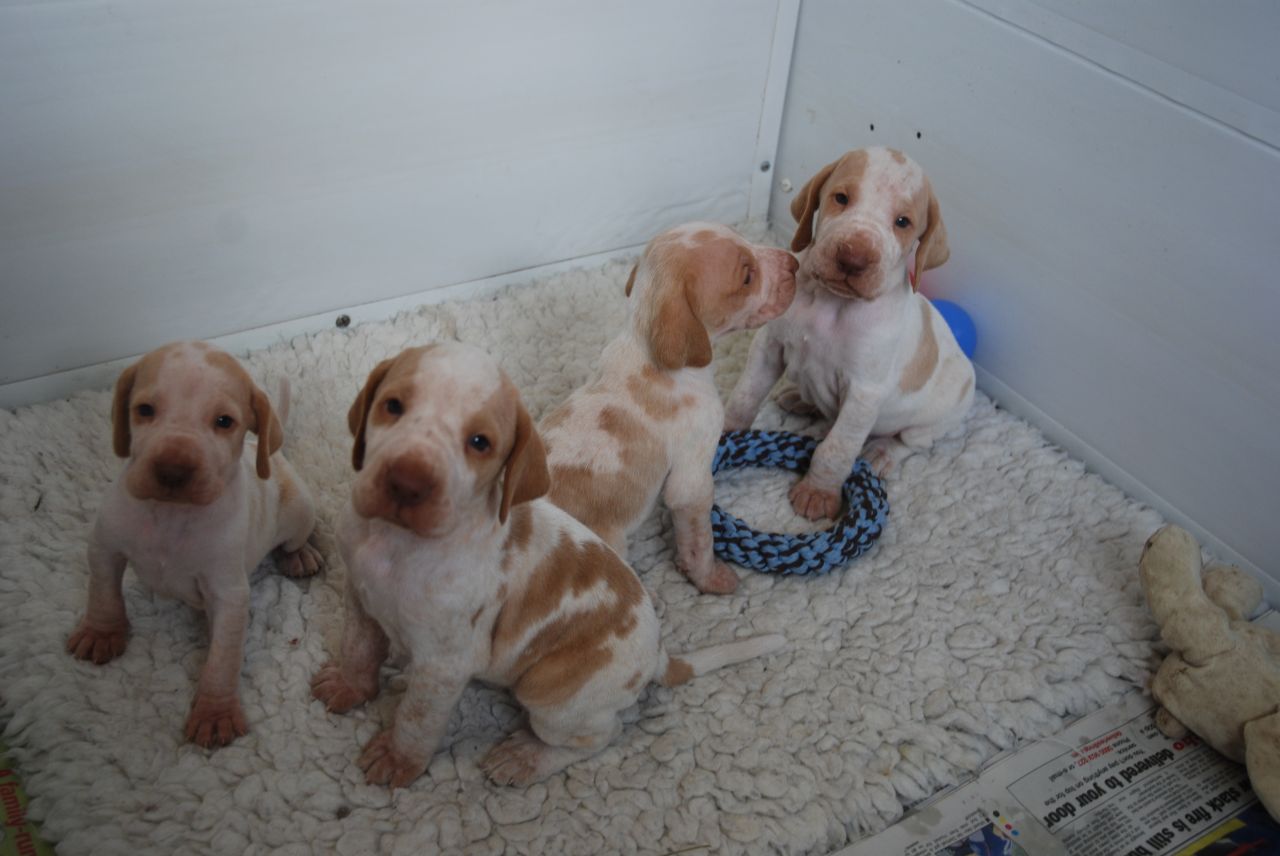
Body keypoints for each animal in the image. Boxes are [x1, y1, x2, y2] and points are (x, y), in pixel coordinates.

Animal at [67, 340, 322, 747]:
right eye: (144, 410)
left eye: (224, 421)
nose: (172, 470)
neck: (171, 516)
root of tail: (266, 447)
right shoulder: (105, 545)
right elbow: (103, 591)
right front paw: (100, 632)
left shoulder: (229, 594)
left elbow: (222, 657)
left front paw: (215, 713)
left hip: (299, 509)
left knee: (297, 535)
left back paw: (299, 555)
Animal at [314, 342, 783, 788]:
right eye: (393, 405)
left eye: (480, 442)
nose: (406, 483)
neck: (396, 543)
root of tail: (659, 656)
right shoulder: (359, 600)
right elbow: (358, 649)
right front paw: (350, 686)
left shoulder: (443, 665)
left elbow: (416, 718)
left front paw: (398, 758)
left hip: (552, 696)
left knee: (597, 737)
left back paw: (525, 757)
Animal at [535, 222, 793, 593]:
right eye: (747, 277)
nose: (795, 264)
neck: (644, 351)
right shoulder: (693, 481)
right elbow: (699, 540)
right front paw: (709, 578)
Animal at [727, 145, 972, 516]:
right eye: (841, 198)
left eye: (903, 222)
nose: (853, 258)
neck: (833, 303)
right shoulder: (769, 346)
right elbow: (745, 397)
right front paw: (724, 436)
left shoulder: (863, 393)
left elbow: (837, 447)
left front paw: (818, 492)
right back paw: (802, 399)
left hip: (932, 421)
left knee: (910, 442)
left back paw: (882, 452)